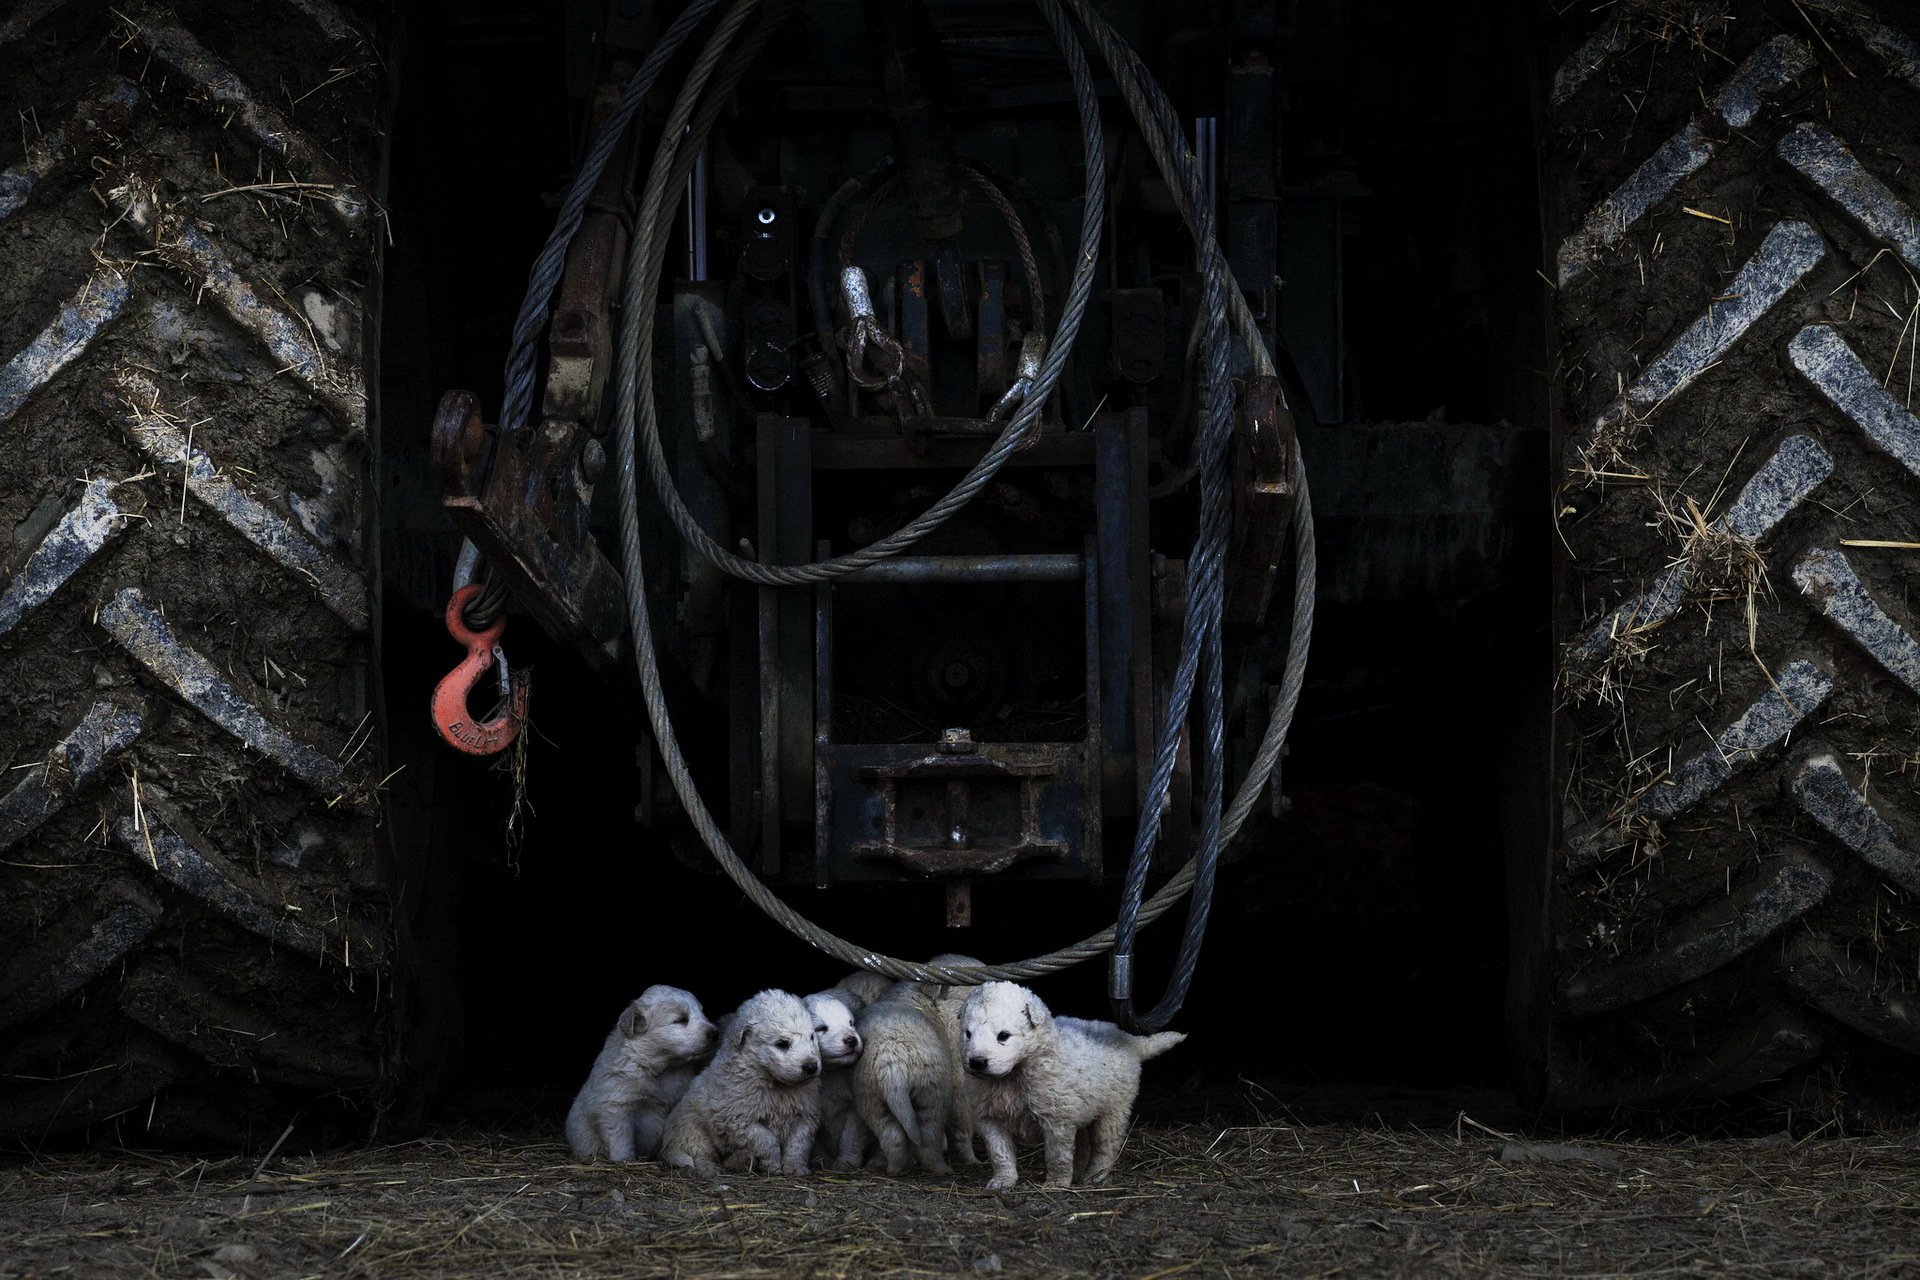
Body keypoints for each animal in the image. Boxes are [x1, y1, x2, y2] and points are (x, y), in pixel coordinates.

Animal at [572, 990, 721, 1166]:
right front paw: (625, 1160)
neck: (663, 1069)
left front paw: (680, 1158)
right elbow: (621, 1139)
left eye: (703, 1013)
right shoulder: (616, 1105)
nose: (716, 1033)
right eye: (681, 1020)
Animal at [664, 990, 821, 1182]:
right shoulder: (740, 1120)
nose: (811, 1066)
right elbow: (767, 1140)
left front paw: (795, 1167)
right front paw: (773, 1166)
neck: (777, 1085)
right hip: (691, 1127)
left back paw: (743, 1160)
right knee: (700, 1154)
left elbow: (798, 1144)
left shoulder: (805, 1117)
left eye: (812, 1037)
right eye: (782, 1043)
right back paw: (710, 1170)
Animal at [806, 990, 867, 1174]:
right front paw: (823, 1163)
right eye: (821, 1028)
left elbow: (851, 1136)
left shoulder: (855, 1107)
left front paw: (847, 1162)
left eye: (851, 1023)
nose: (852, 1040)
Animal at [960, 982, 1182, 1189]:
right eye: (968, 1034)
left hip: (1114, 1109)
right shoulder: (990, 1118)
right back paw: (1079, 1175)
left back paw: (1094, 1177)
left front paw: (1056, 1183)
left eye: (1003, 1036)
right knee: (1084, 1145)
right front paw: (1002, 1181)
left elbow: (1058, 1155)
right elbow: (999, 1153)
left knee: (1105, 1146)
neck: (1013, 1075)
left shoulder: (1057, 1119)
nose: (977, 1062)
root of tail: (1129, 1040)